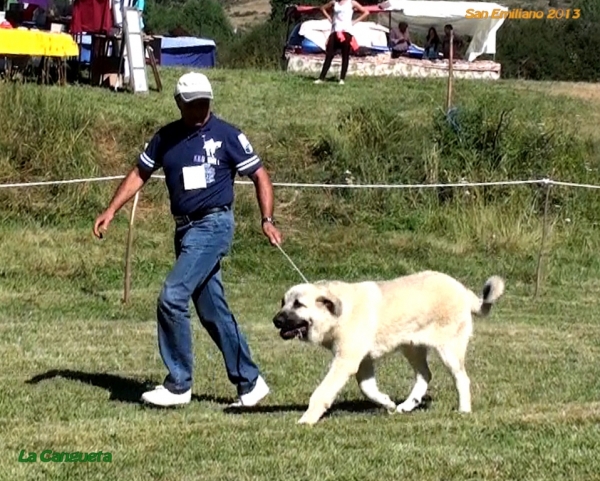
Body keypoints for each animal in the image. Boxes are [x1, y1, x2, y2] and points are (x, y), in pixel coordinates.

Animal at [274, 270, 506, 424]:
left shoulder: (345, 361)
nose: (275, 320)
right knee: (425, 375)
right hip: (412, 348)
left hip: (448, 350)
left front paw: (306, 420)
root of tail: (462, 289)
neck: (340, 313)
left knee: (461, 379)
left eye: (298, 304)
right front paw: (387, 403)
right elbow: (367, 388)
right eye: (283, 302)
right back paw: (407, 405)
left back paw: (463, 410)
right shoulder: (363, 361)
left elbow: (322, 392)